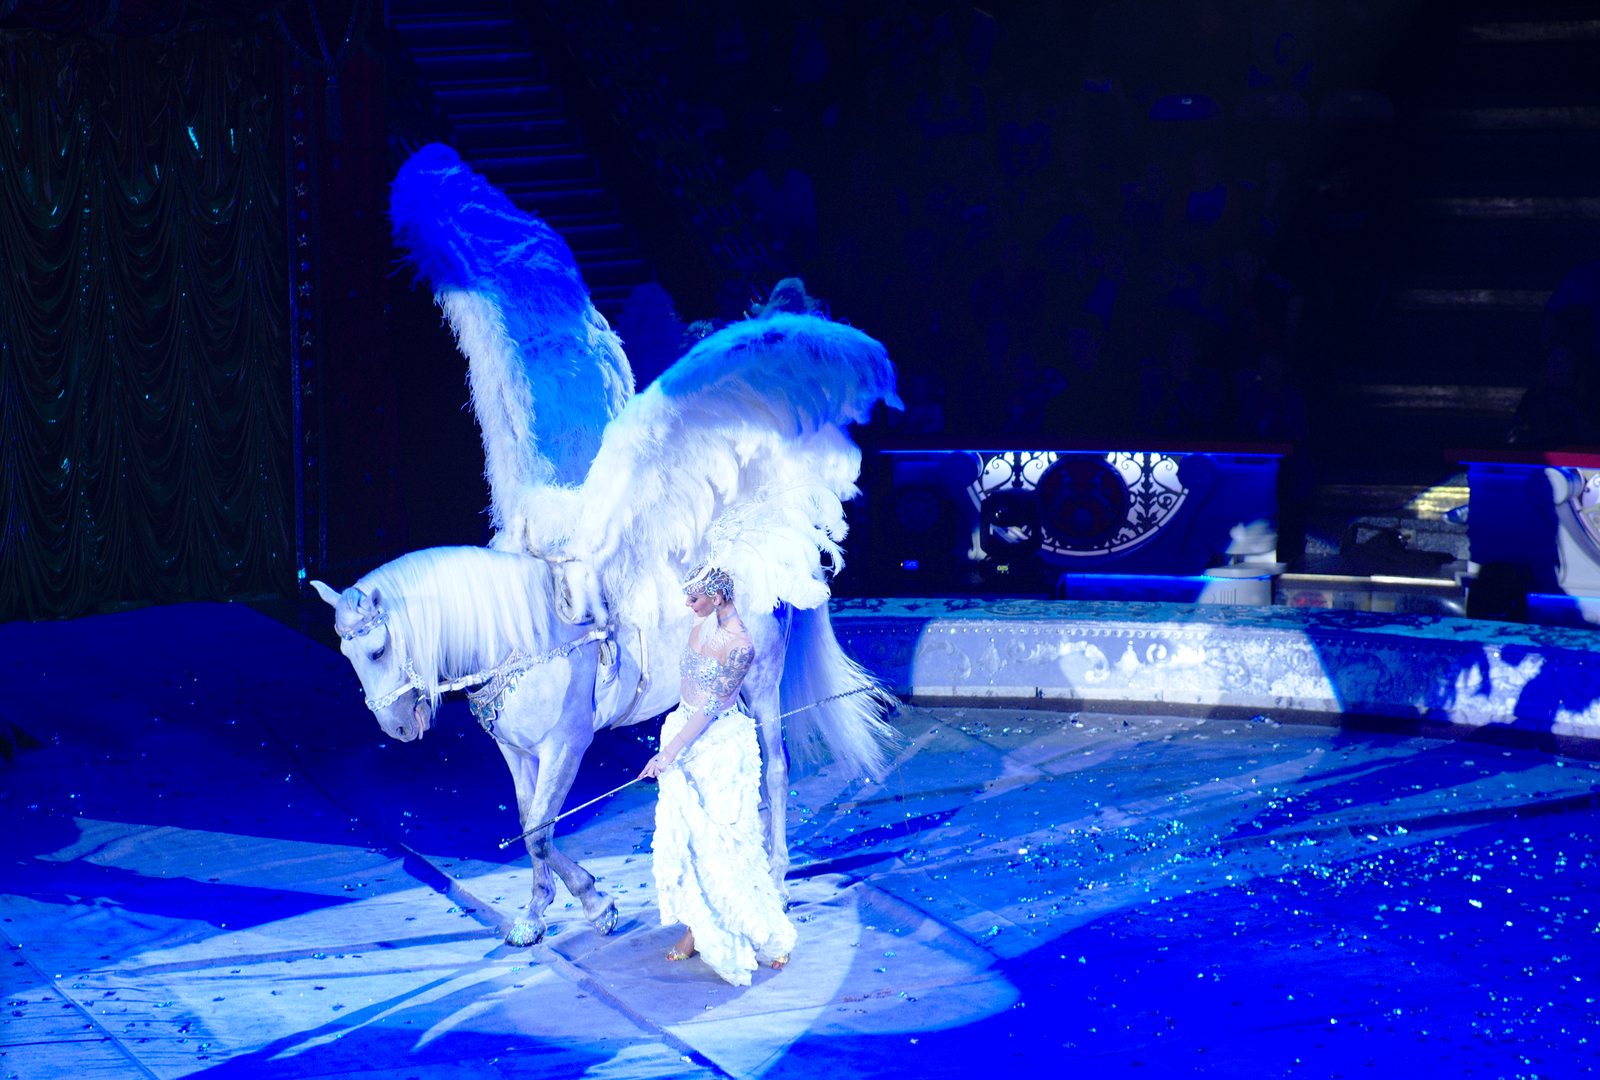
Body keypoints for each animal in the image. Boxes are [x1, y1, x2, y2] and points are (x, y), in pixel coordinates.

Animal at [312, 543, 887, 946]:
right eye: (346, 654)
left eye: (378, 650)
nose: (396, 728)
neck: (527, 641)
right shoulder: (517, 752)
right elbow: (529, 823)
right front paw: (533, 915)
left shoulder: (566, 746)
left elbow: (540, 832)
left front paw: (596, 904)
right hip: (726, 700)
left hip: (760, 682)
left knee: (777, 772)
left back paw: (776, 877)